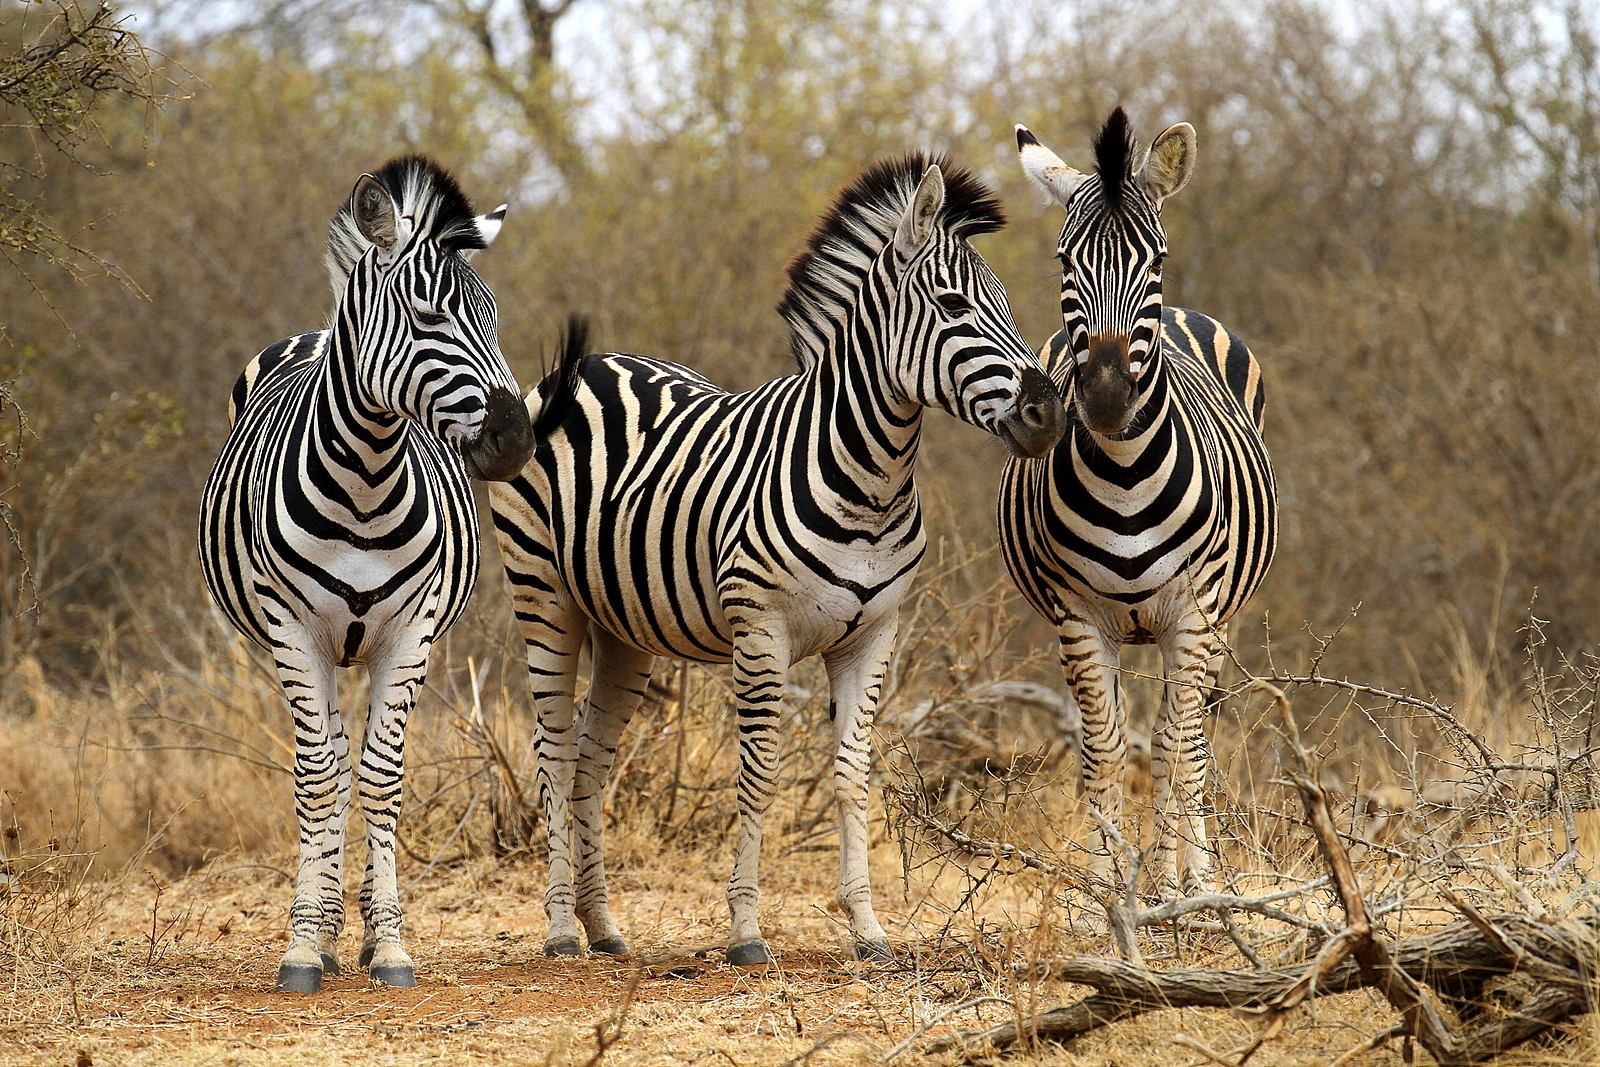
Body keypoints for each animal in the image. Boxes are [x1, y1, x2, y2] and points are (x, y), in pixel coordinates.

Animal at [198, 156, 534, 993]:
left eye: (494, 318)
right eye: (426, 315)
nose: (516, 440)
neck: (366, 478)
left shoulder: (409, 634)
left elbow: (382, 779)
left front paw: (388, 946)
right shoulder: (293, 631)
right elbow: (321, 780)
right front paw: (300, 948)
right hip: (302, 649)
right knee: (320, 769)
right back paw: (318, 931)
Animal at [490, 155, 1066, 965]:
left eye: (1008, 303)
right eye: (954, 305)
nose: (1049, 415)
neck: (871, 481)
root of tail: (590, 363)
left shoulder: (874, 635)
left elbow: (854, 772)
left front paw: (869, 930)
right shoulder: (760, 631)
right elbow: (760, 770)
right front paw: (746, 931)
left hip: (623, 629)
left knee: (593, 761)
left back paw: (602, 926)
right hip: (544, 597)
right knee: (557, 753)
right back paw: (561, 930)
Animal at [998, 109, 1277, 895]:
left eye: (1154, 258)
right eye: (1064, 261)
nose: (1104, 397)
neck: (1124, 475)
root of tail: (1184, 312)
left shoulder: (1193, 612)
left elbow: (1177, 753)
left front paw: (1180, 895)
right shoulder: (1079, 617)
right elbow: (1106, 753)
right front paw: (1106, 897)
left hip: (1218, 619)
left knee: (1194, 741)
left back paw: (1194, 879)